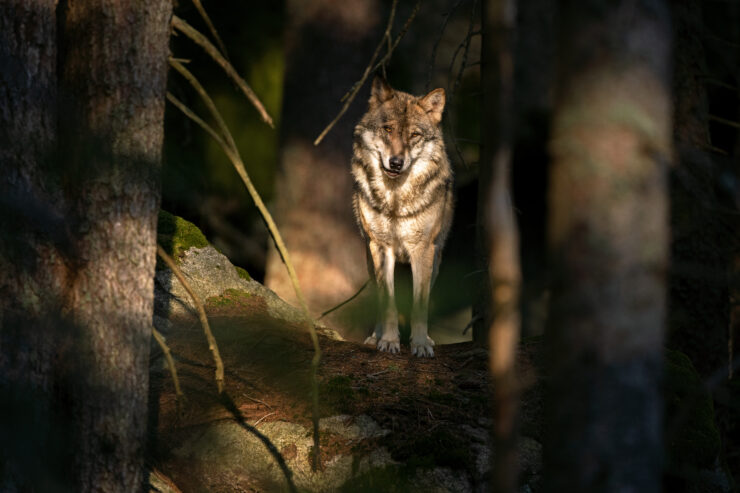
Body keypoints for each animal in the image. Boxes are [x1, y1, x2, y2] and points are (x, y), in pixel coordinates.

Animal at [352, 77, 454, 357]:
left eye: (414, 135)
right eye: (388, 130)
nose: (396, 163)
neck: (396, 201)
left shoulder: (423, 249)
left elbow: (420, 306)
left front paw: (419, 344)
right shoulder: (381, 247)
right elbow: (388, 302)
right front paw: (388, 341)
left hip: (436, 261)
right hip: (370, 258)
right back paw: (374, 337)